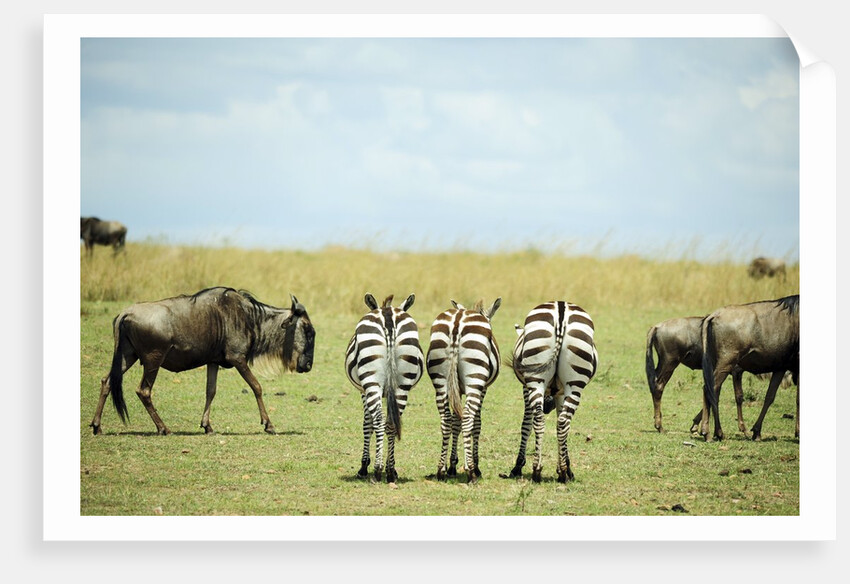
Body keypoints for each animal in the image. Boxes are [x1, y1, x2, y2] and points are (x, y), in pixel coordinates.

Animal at [344, 293, 424, 483]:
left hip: (371, 380)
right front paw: (390, 468)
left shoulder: (363, 391)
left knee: (379, 420)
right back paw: (390, 471)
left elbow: (367, 423)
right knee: (392, 423)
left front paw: (363, 466)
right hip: (403, 383)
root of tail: (387, 313)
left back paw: (378, 469)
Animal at [426, 298, 502, 483]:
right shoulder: (482, 389)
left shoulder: (457, 390)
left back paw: (440, 470)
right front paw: (475, 465)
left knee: (446, 419)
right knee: (468, 418)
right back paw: (471, 472)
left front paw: (452, 465)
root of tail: (457, 320)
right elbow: (476, 423)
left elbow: (455, 422)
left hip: (440, 380)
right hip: (475, 379)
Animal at [505, 301, 598, 483]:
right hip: (571, 383)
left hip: (540, 380)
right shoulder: (559, 392)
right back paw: (554, 472)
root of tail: (561, 309)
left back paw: (540, 470)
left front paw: (518, 467)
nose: (548, 405)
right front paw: (565, 467)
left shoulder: (530, 388)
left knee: (545, 419)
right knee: (560, 421)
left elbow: (527, 424)